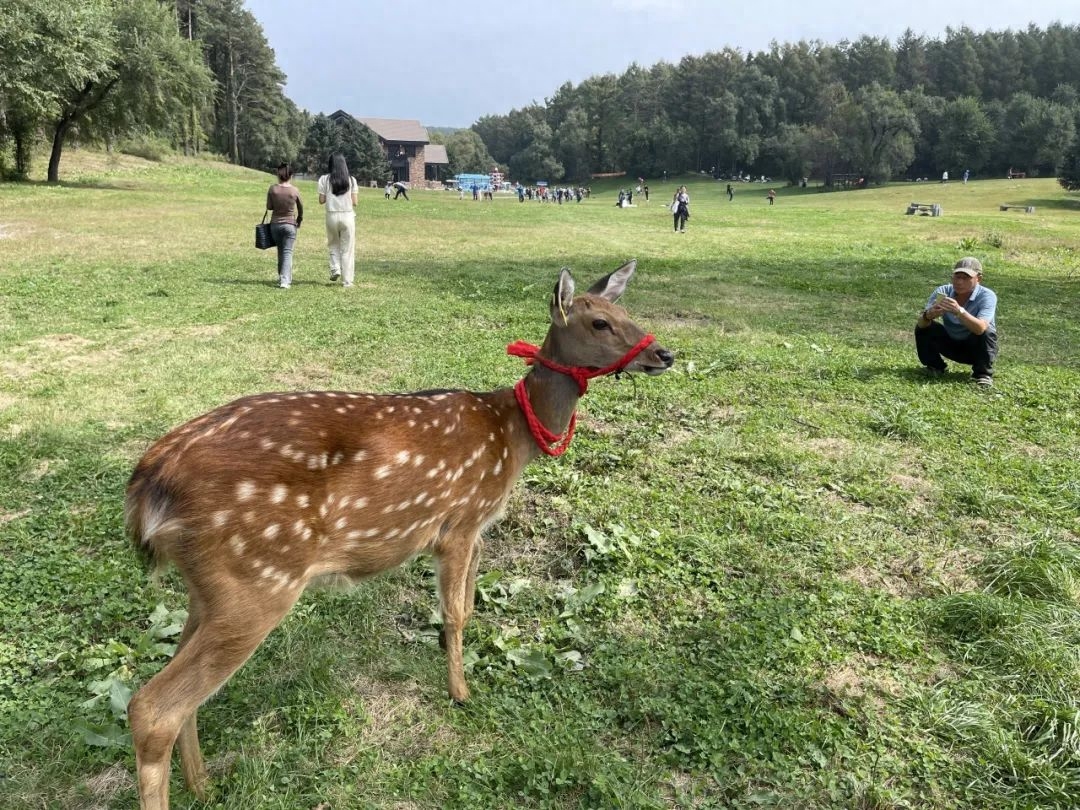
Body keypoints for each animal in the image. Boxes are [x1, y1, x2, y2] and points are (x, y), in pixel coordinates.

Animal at [124, 260, 674, 809]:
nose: (664, 353)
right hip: (257, 579)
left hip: (209, 587)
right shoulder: (460, 522)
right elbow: (455, 614)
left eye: (626, 311)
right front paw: (460, 693)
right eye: (599, 322)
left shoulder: (477, 529)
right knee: (152, 707)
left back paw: (203, 783)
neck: (513, 437)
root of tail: (148, 483)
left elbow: (469, 607)